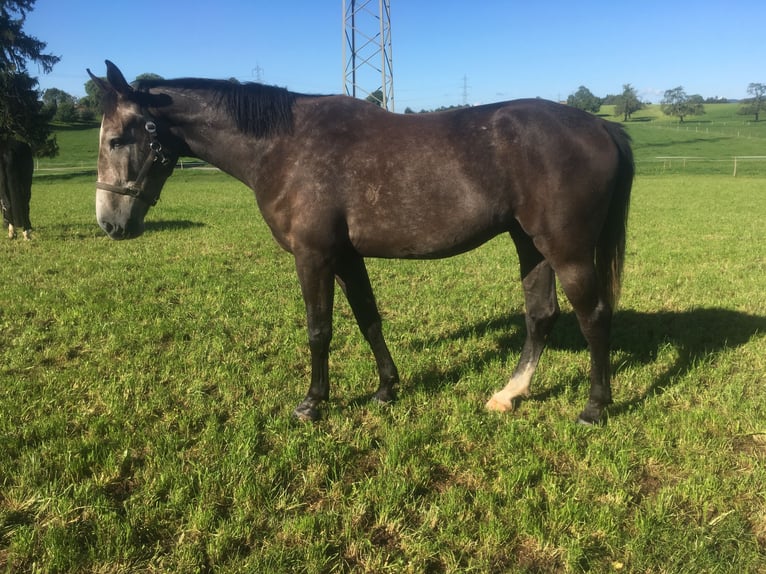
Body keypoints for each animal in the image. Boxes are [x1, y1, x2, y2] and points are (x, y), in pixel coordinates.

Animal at [88, 60, 633, 424]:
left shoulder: (314, 256)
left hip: (565, 248)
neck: (284, 146)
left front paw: (312, 403)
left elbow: (319, 330)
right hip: (530, 244)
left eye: (115, 139)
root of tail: (601, 125)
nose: (109, 223)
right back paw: (509, 394)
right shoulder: (346, 256)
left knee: (594, 317)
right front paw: (387, 389)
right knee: (541, 316)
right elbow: (368, 318)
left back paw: (594, 407)